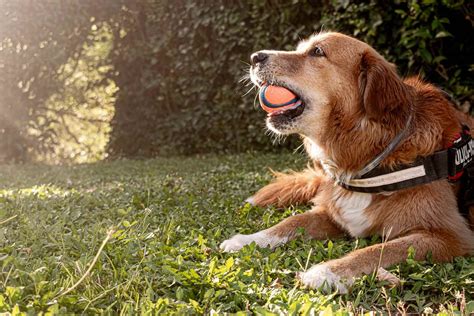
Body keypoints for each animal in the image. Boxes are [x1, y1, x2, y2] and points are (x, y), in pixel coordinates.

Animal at [219, 32, 474, 294]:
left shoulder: (449, 235)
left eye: (317, 51)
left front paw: (326, 271)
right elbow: (292, 221)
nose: (254, 57)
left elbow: (379, 250)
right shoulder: (332, 214)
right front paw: (248, 240)